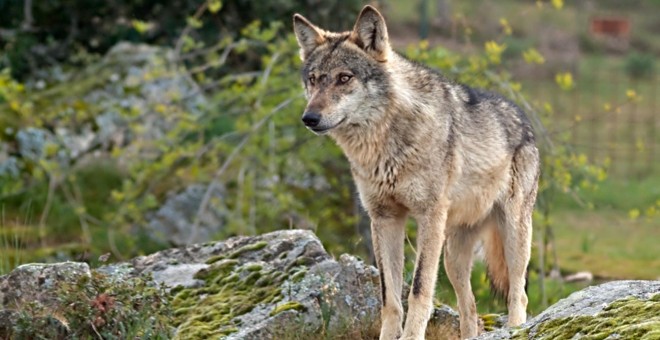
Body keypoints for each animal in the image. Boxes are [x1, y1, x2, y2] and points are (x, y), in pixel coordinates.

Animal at [294, 5, 540, 340]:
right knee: (470, 308)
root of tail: (524, 120)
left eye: (344, 78)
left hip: (512, 234)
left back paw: (516, 328)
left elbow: (419, 290)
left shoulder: (428, 216)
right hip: (452, 256)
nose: (309, 118)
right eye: (314, 79)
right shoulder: (384, 219)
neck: (384, 143)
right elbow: (390, 297)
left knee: (518, 293)